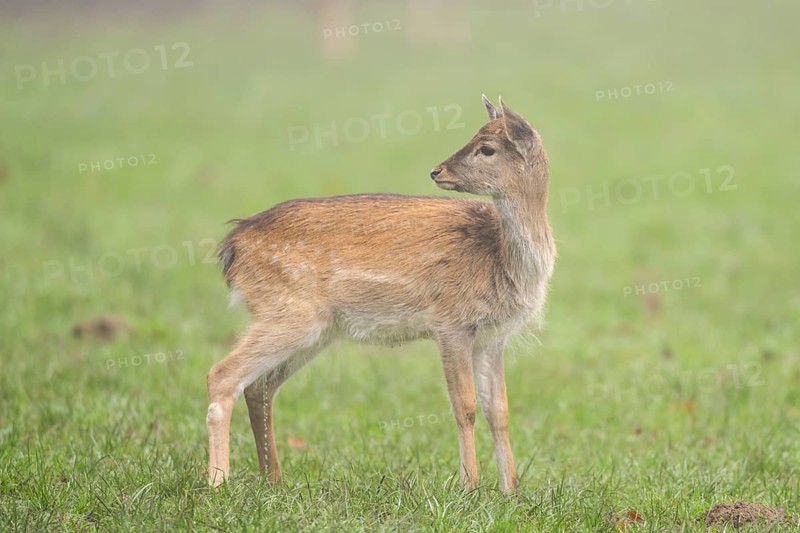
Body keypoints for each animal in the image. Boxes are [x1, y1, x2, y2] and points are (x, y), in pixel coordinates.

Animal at [206, 96, 556, 494]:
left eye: (486, 148)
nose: (437, 171)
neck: (501, 259)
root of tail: (232, 246)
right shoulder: (450, 321)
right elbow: (464, 407)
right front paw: (469, 486)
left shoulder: (493, 335)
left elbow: (499, 411)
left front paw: (511, 490)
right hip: (289, 311)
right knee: (222, 374)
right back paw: (217, 483)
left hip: (315, 328)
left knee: (259, 386)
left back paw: (274, 480)